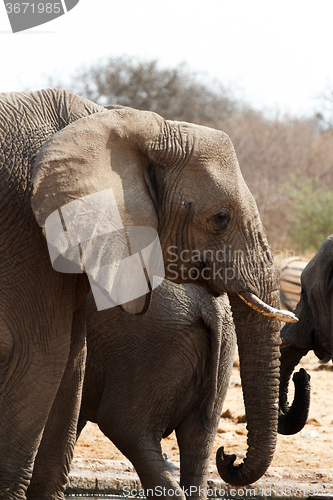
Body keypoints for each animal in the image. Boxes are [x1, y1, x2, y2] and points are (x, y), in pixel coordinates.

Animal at [77, 280, 236, 498]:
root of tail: (212, 306)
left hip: (148, 348)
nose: (229, 456)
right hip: (222, 349)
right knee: (198, 443)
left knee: (123, 429)